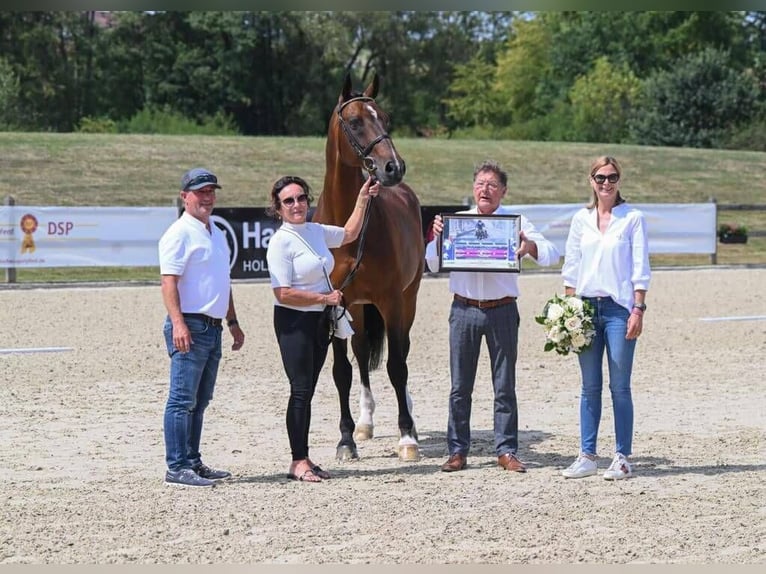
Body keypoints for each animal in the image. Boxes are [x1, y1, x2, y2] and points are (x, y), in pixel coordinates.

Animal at [316, 74, 428, 464]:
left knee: (402, 350)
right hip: (361, 308)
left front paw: (407, 437)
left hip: (407, 299)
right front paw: (346, 440)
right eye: (354, 122)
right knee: (363, 352)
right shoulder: (335, 303)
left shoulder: (391, 300)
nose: (393, 167)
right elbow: (342, 371)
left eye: (385, 118)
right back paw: (365, 422)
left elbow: (397, 365)